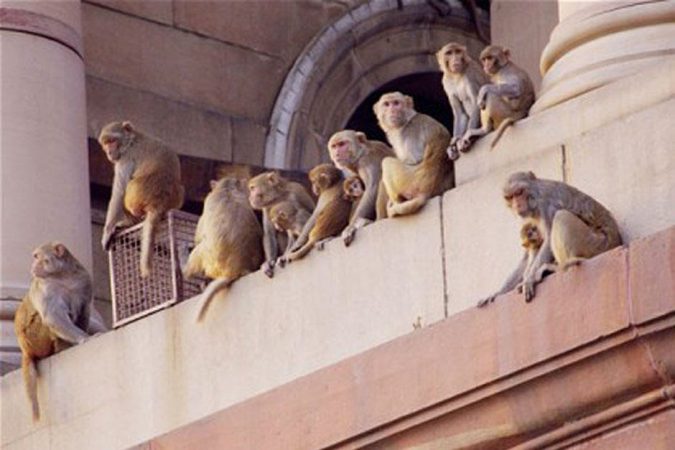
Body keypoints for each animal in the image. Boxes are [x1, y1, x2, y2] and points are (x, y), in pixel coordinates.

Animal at [14, 242, 97, 420]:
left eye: (37, 256)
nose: (32, 265)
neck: (63, 275)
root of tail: (25, 349)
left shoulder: (85, 280)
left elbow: (84, 311)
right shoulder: (46, 286)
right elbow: (52, 316)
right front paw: (85, 338)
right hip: (35, 339)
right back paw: (61, 349)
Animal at [98, 121, 184, 278]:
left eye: (112, 141)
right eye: (106, 143)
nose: (108, 152)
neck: (133, 139)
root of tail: (159, 202)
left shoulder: (124, 159)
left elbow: (119, 192)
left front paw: (107, 231)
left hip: (134, 198)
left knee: (126, 190)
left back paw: (130, 222)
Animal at [182, 178, 264, 321]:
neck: (227, 188)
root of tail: (234, 271)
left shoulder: (208, 201)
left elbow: (198, 237)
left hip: (210, 263)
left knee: (200, 248)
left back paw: (186, 269)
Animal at [478, 172, 622, 306]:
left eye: (519, 192)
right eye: (510, 197)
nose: (516, 205)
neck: (535, 197)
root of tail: (616, 242)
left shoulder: (546, 205)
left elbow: (547, 241)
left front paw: (529, 279)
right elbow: (526, 256)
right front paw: (497, 293)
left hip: (595, 244)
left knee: (561, 215)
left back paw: (559, 267)